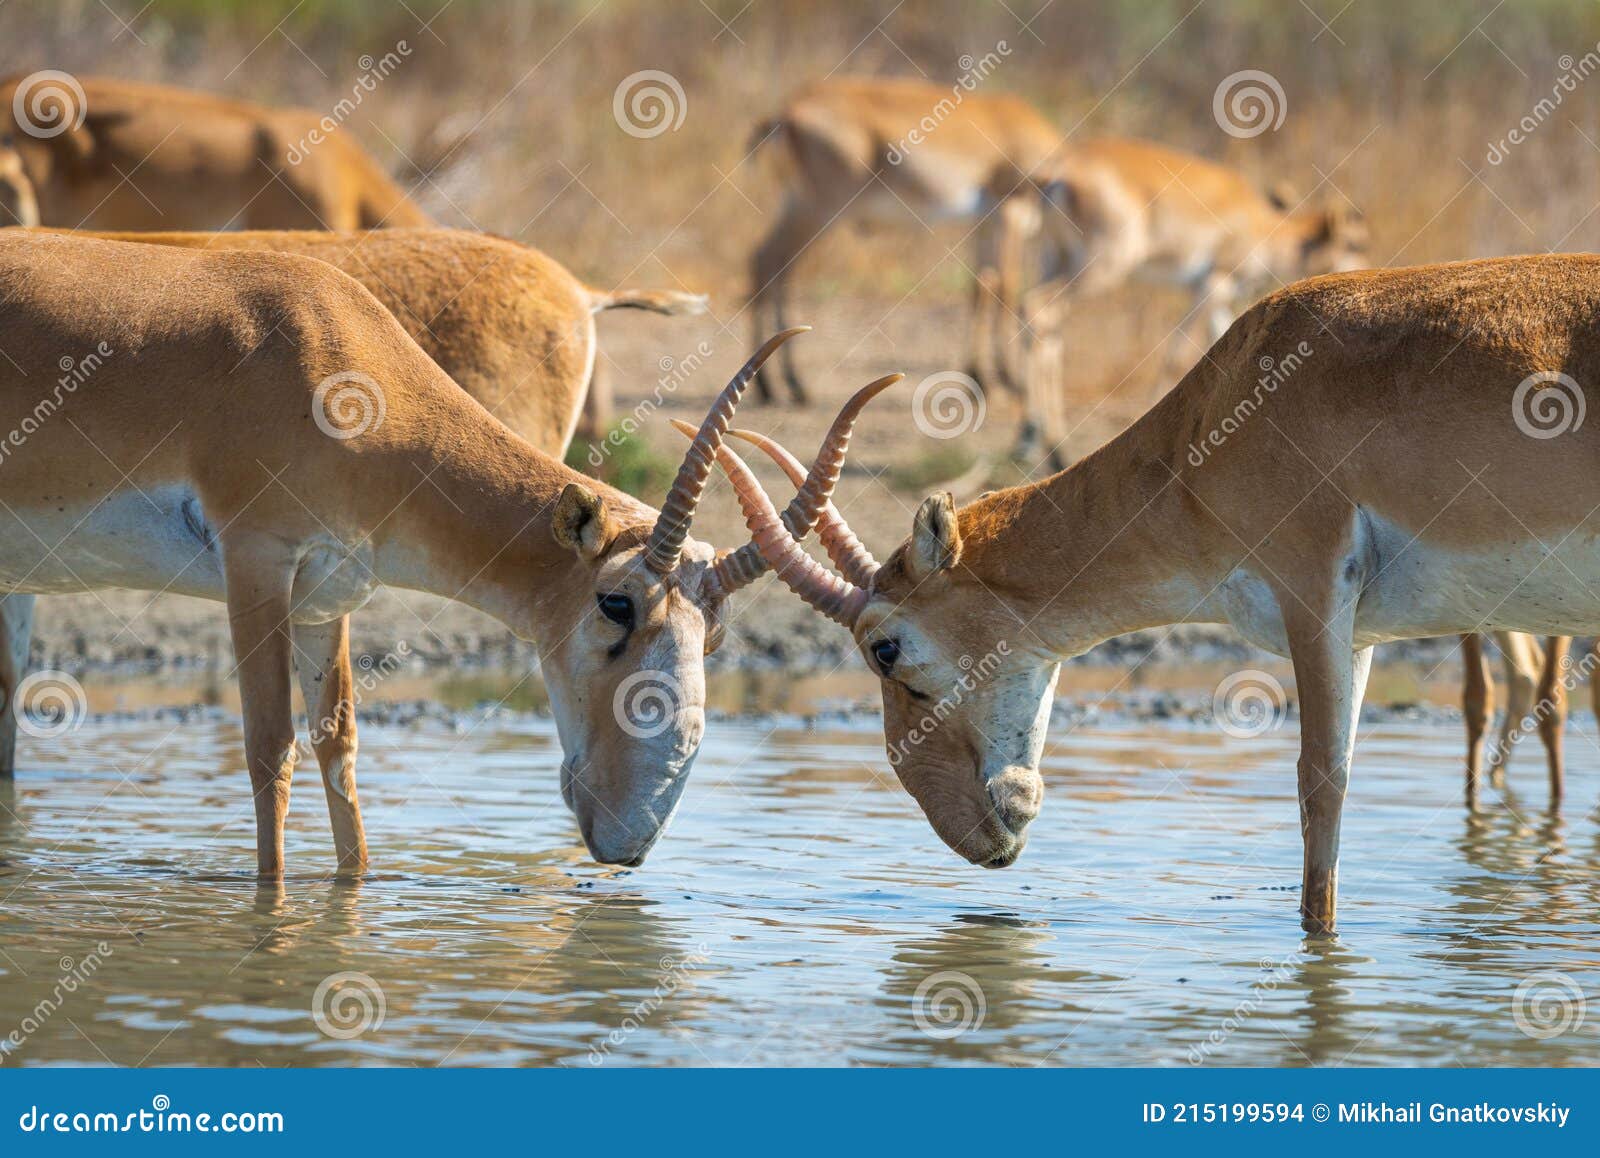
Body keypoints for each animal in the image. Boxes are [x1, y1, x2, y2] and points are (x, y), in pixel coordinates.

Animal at [0, 225, 780, 876]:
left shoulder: (324, 596)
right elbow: (269, 748)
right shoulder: (258, 563)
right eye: (617, 602)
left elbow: (337, 745)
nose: (631, 835)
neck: (329, 350)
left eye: (712, 633)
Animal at [720, 252, 1600, 934]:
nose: (973, 836)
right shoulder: (1362, 635)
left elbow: (1322, 784)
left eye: (884, 647)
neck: (1214, 421)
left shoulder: (1313, 589)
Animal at [748, 74, 1062, 404]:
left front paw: (978, 377)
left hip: (796, 205)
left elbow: (981, 289)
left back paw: (776, 385)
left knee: (767, 263)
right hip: (817, 212)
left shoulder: (984, 227)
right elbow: (1008, 289)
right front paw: (1011, 381)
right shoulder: (1010, 214)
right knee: (771, 262)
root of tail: (786, 114)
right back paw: (784, 384)